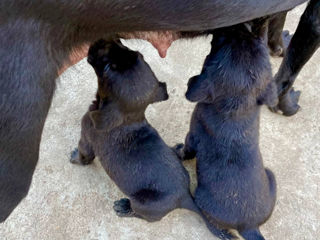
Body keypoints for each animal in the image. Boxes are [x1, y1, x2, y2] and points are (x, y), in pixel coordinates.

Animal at [70, 39, 208, 225]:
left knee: (144, 216)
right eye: (136, 52)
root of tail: (185, 197)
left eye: (107, 68)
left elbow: (84, 156)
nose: (109, 38)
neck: (128, 120)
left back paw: (124, 207)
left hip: (141, 204)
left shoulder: (86, 138)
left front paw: (75, 158)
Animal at [175, 21, 278, 240]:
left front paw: (177, 151)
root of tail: (250, 227)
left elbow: (186, 151)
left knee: (213, 225)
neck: (237, 109)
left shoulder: (192, 137)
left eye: (223, 42)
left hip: (203, 200)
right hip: (271, 176)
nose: (241, 24)